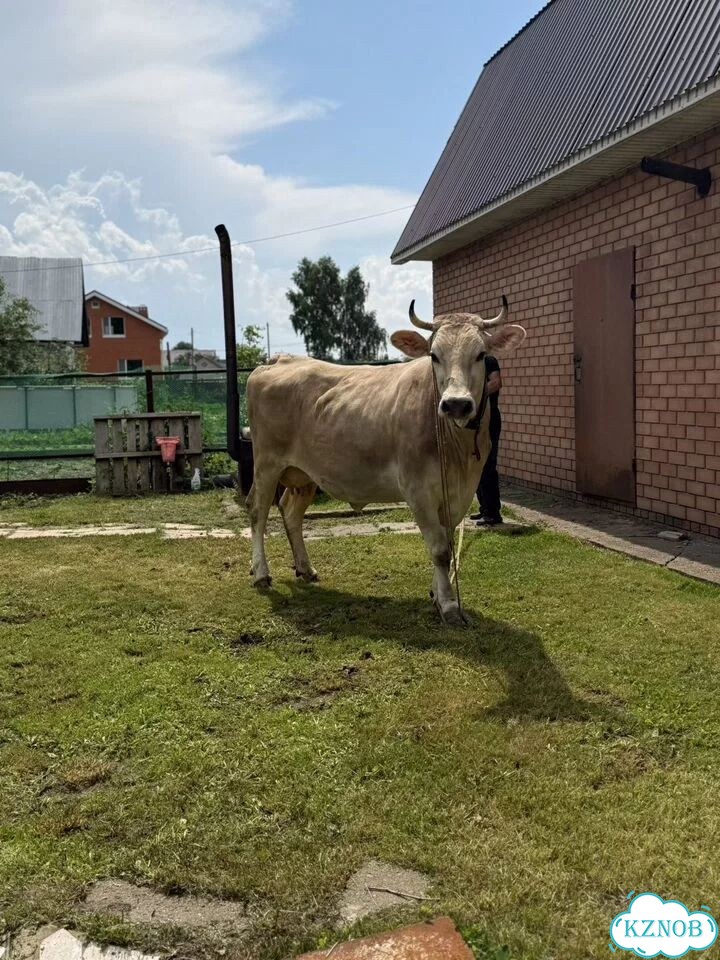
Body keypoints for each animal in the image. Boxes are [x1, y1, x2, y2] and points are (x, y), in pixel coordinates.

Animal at [245, 299, 526, 625]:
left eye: (481, 355)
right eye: (434, 355)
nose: (456, 404)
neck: (457, 451)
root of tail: (279, 360)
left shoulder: (459, 494)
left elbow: (445, 545)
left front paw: (437, 595)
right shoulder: (418, 491)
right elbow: (440, 550)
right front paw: (448, 605)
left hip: (304, 473)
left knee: (291, 513)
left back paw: (305, 568)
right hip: (266, 464)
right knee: (258, 512)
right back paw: (261, 574)